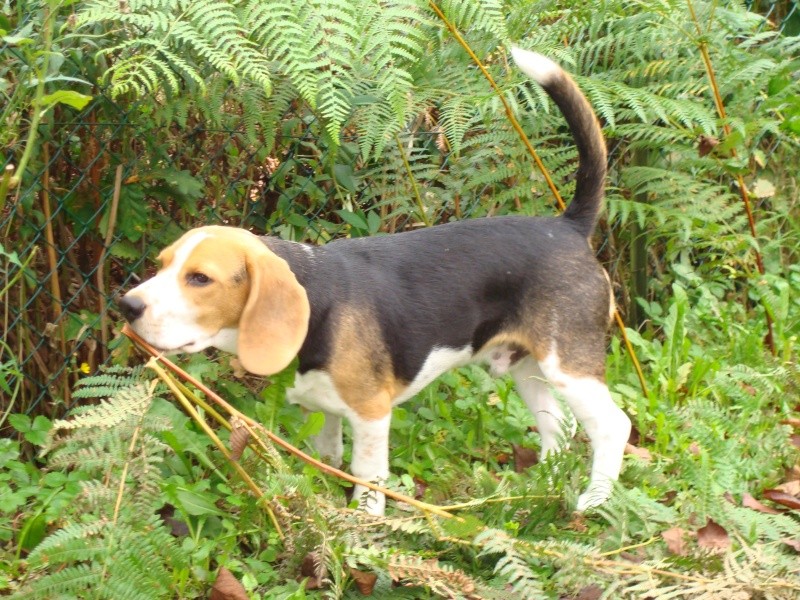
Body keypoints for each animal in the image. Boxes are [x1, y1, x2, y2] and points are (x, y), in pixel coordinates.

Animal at [119, 48, 632, 516]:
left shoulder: (371, 414)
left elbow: (367, 477)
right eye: (162, 265)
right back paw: (532, 493)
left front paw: (365, 525)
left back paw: (592, 501)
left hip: (569, 367)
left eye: (200, 278)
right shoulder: (320, 411)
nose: (127, 306)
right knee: (558, 429)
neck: (316, 305)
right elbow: (327, 460)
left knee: (613, 426)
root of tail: (567, 226)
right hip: (526, 368)